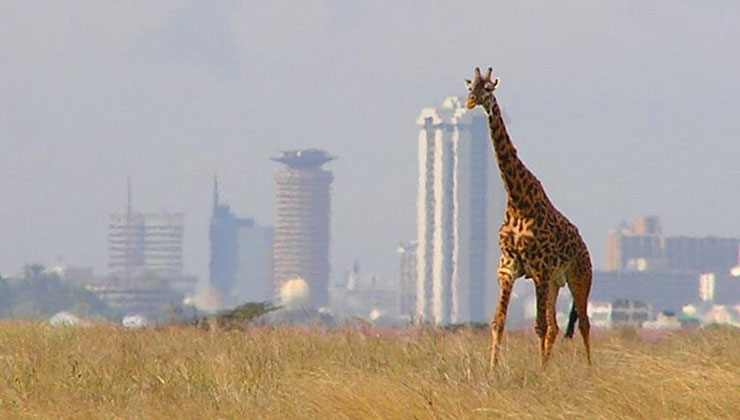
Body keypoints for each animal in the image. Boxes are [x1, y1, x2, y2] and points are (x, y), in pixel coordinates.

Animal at [466, 66, 592, 368]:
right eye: (469, 87)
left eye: (489, 89)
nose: (471, 102)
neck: (517, 201)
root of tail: (585, 247)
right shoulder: (508, 267)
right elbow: (498, 322)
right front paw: (492, 370)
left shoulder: (539, 268)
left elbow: (539, 326)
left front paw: (539, 372)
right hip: (556, 283)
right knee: (558, 326)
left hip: (579, 277)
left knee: (583, 323)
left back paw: (590, 370)